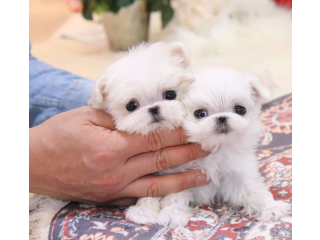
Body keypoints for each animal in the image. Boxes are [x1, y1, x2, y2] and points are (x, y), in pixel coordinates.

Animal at [90, 40, 195, 223]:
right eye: (131, 106)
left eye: (170, 94)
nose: (153, 109)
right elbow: (147, 191)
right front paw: (143, 212)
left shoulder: (185, 170)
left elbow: (179, 191)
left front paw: (173, 213)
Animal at [156, 67, 292, 227]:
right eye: (199, 113)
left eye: (240, 109)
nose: (221, 117)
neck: (216, 147)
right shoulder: (177, 174)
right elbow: (176, 194)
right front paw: (173, 213)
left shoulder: (237, 172)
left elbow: (252, 190)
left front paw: (270, 207)